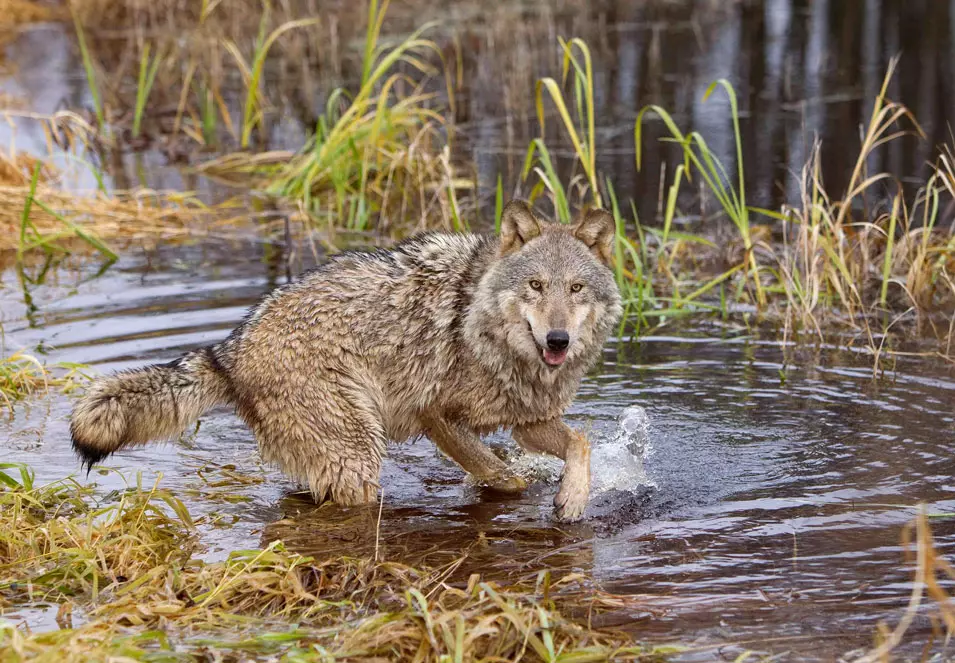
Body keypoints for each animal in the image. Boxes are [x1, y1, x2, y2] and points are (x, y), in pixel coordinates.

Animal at [71, 200, 624, 520]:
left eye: (576, 289)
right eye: (535, 286)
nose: (558, 340)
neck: (482, 323)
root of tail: (230, 349)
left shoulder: (529, 420)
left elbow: (579, 441)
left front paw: (572, 498)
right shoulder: (436, 416)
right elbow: (505, 476)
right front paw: (523, 487)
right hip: (358, 453)